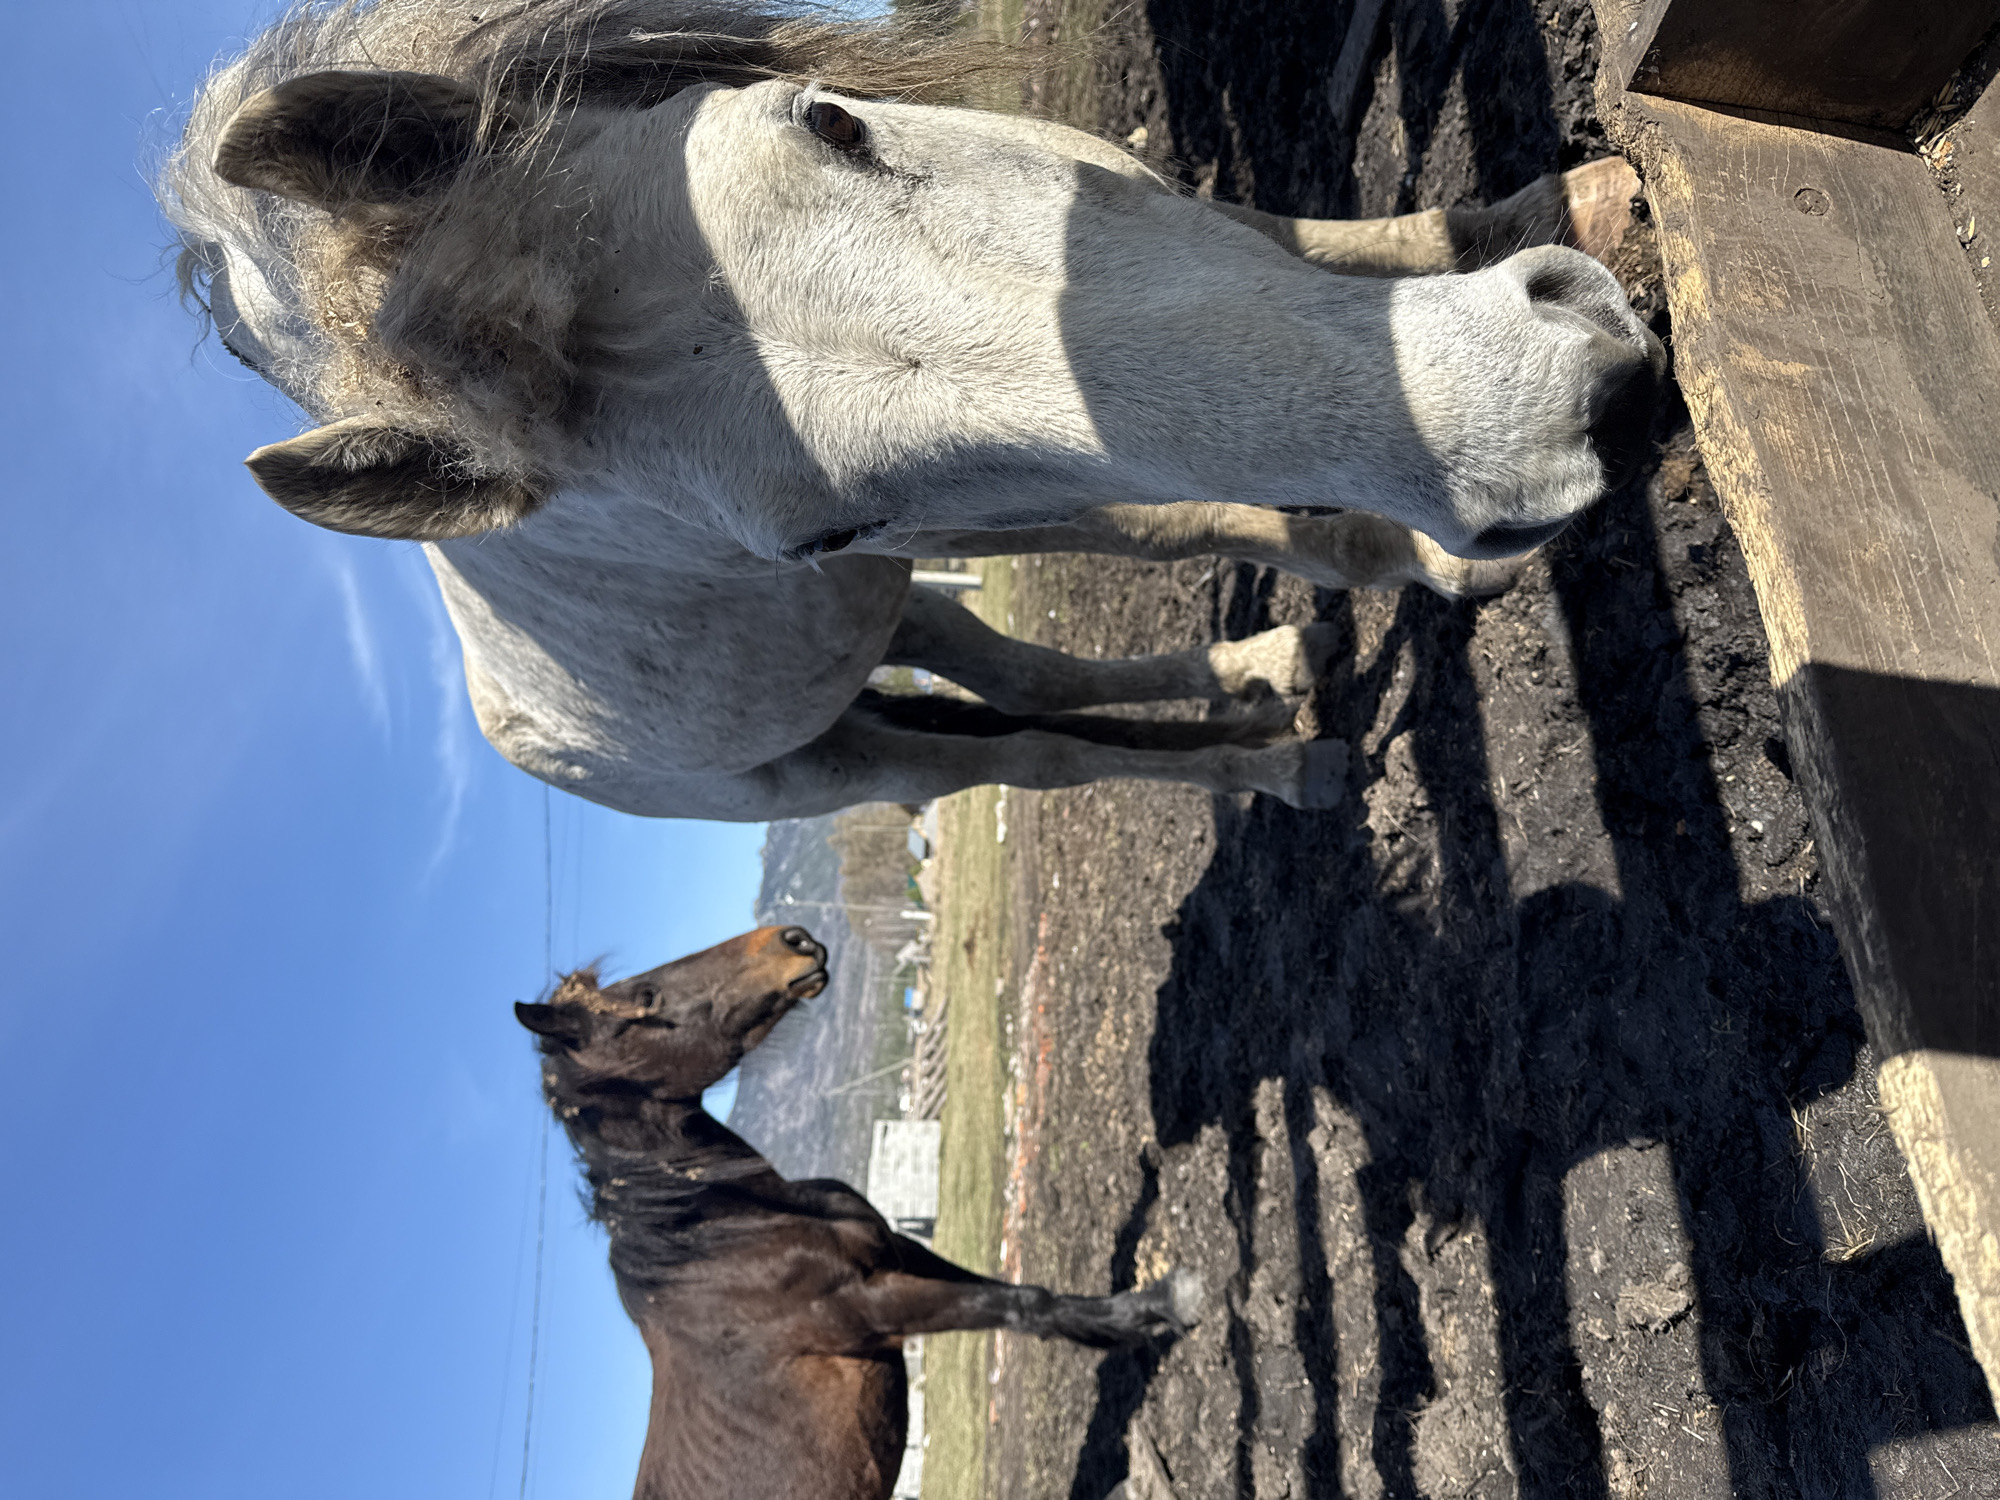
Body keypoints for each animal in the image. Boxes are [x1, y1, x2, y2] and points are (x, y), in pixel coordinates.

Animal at [160, 1, 1663, 819]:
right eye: (812, 532)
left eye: (830, 121)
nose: (1525, 409)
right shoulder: (976, 511)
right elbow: (1198, 520)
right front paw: (1417, 557)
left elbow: (1277, 248)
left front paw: (1550, 204)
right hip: (827, 767)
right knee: (1029, 755)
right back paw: (1278, 770)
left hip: (891, 619)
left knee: (1024, 679)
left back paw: (1260, 679)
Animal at [516, 924, 1203, 1499]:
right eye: (647, 997)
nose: (792, 939)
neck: (718, 1237)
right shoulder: (869, 1306)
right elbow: (1021, 1304)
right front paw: (1159, 1308)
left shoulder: (897, 1252)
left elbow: (1010, 1291)